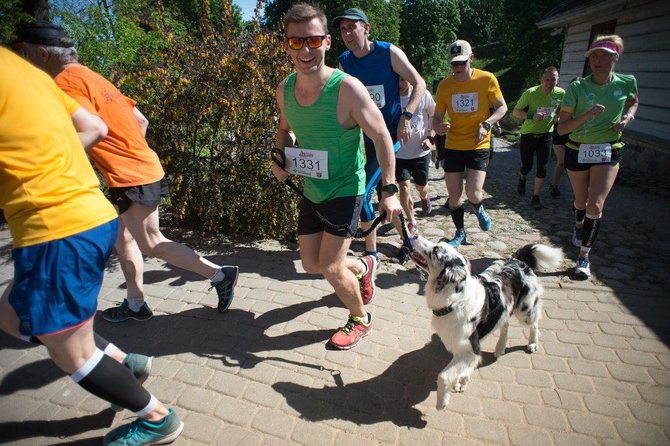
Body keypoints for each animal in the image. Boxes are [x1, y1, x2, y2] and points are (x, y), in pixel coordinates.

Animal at [412, 235, 564, 410]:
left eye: (436, 250)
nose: (414, 234)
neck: (454, 302)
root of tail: (518, 261)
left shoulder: (469, 348)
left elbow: (443, 376)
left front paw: (441, 401)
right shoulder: (463, 349)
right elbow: (461, 370)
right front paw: (462, 381)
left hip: (525, 311)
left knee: (535, 324)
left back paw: (532, 343)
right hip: (505, 310)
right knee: (505, 325)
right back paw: (500, 347)